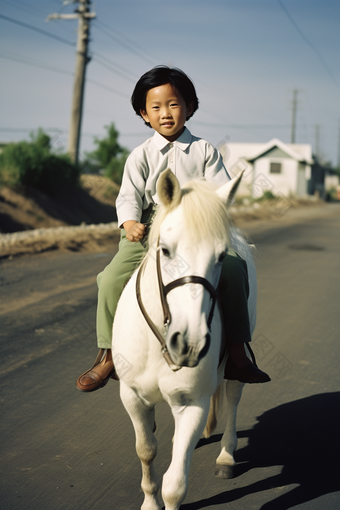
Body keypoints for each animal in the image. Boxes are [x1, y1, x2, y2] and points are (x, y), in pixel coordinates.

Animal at [113, 170, 256, 510]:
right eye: (165, 250)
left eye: (221, 256)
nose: (190, 344)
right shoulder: (132, 397)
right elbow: (146, 449)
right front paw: (149, 500)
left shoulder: (193, 403)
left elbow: (175, 486)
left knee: (233, 397)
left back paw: (226, 456)